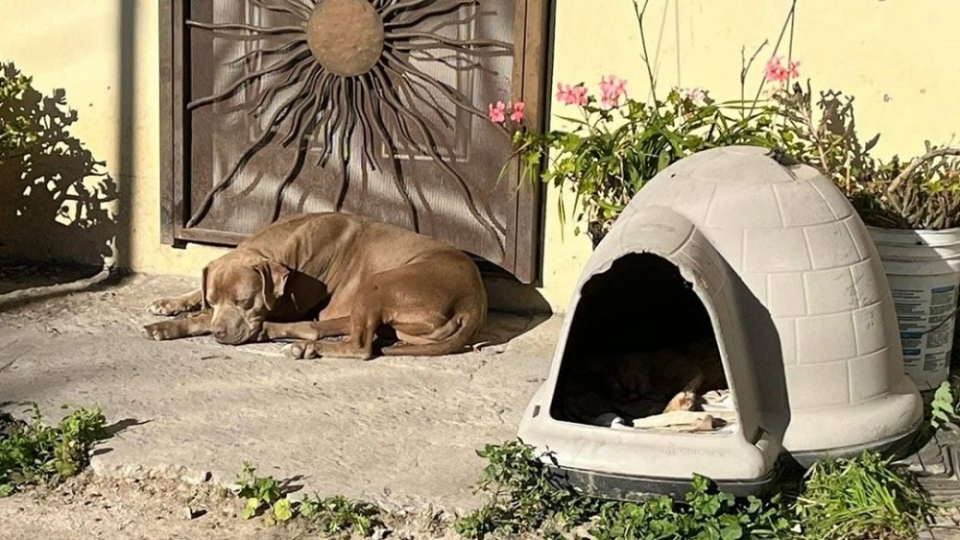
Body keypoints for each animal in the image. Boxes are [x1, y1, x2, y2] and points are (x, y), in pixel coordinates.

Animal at [144, 213, 488, 360]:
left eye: (244, 301)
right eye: (213, 300)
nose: (220, 333)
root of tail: (473, 300)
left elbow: (202, 320)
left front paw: (172, 326)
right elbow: (197, 294)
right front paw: (171, 303)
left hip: (378, 283)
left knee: (360, 347)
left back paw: (304, 347)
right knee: (319, 328)